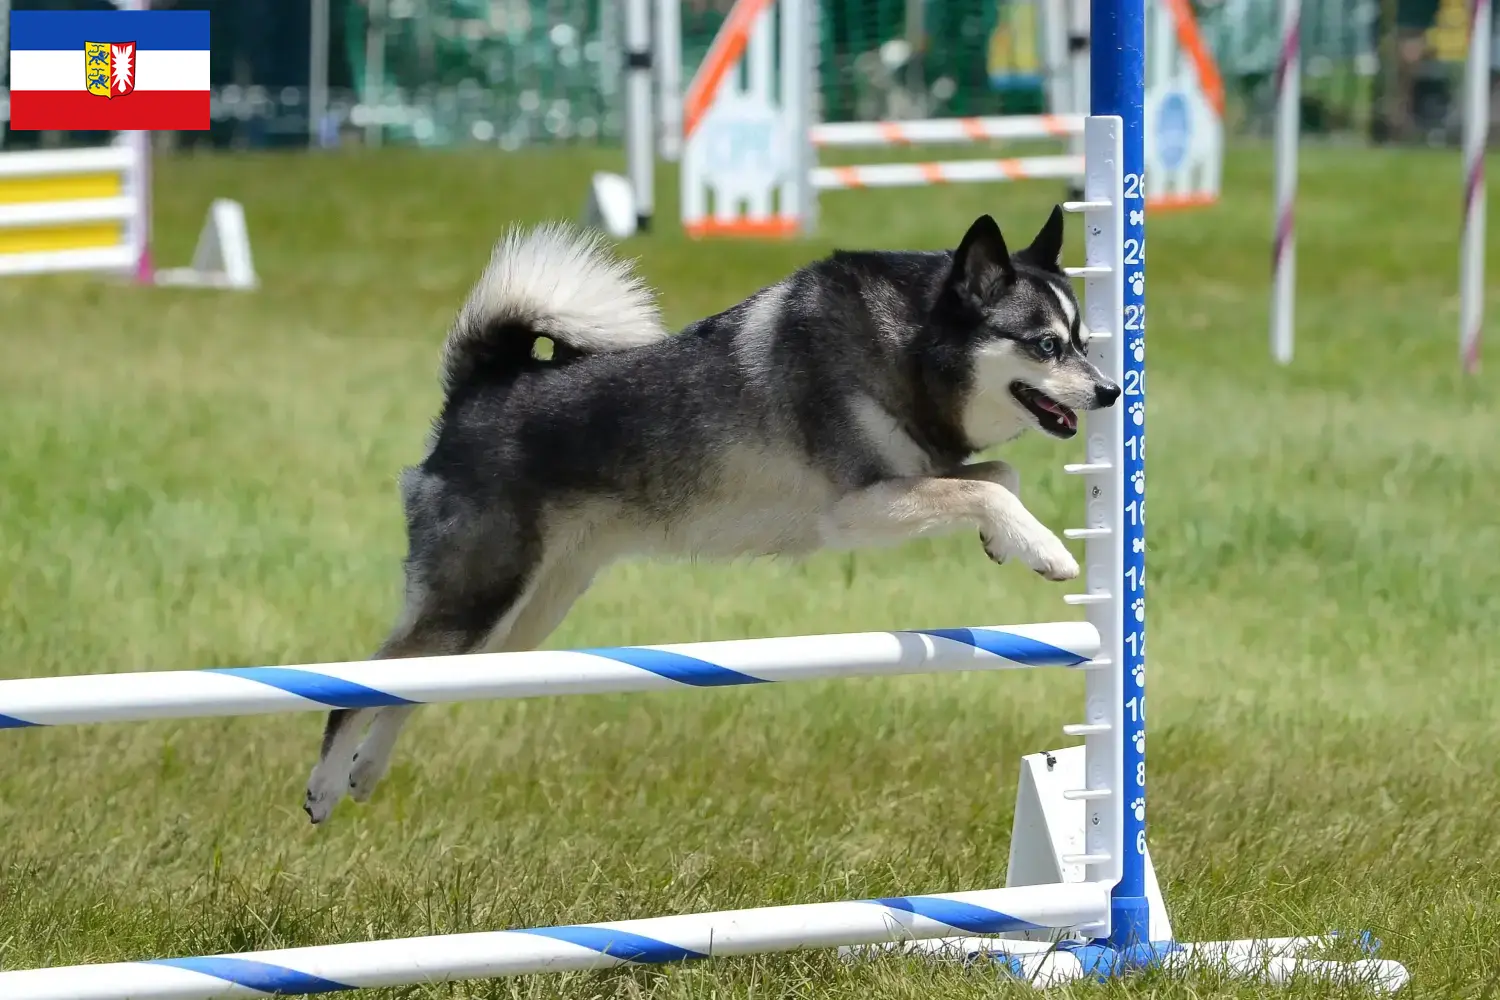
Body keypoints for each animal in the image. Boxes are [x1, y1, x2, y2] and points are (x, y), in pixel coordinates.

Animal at [304, 209, 1122, 821]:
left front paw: (1007, 542)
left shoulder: (914, 480)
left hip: (520, 620)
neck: (911, 345)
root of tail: (479, 388)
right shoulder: (855, 508)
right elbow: (989, 485)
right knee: (364, 679)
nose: (1111, 392)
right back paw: (325, 785)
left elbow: (999, 476)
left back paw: (366, 772)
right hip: (480, 594)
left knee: (413, 684)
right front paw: (1047, 551)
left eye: (1085, 341)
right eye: (1045, 345)